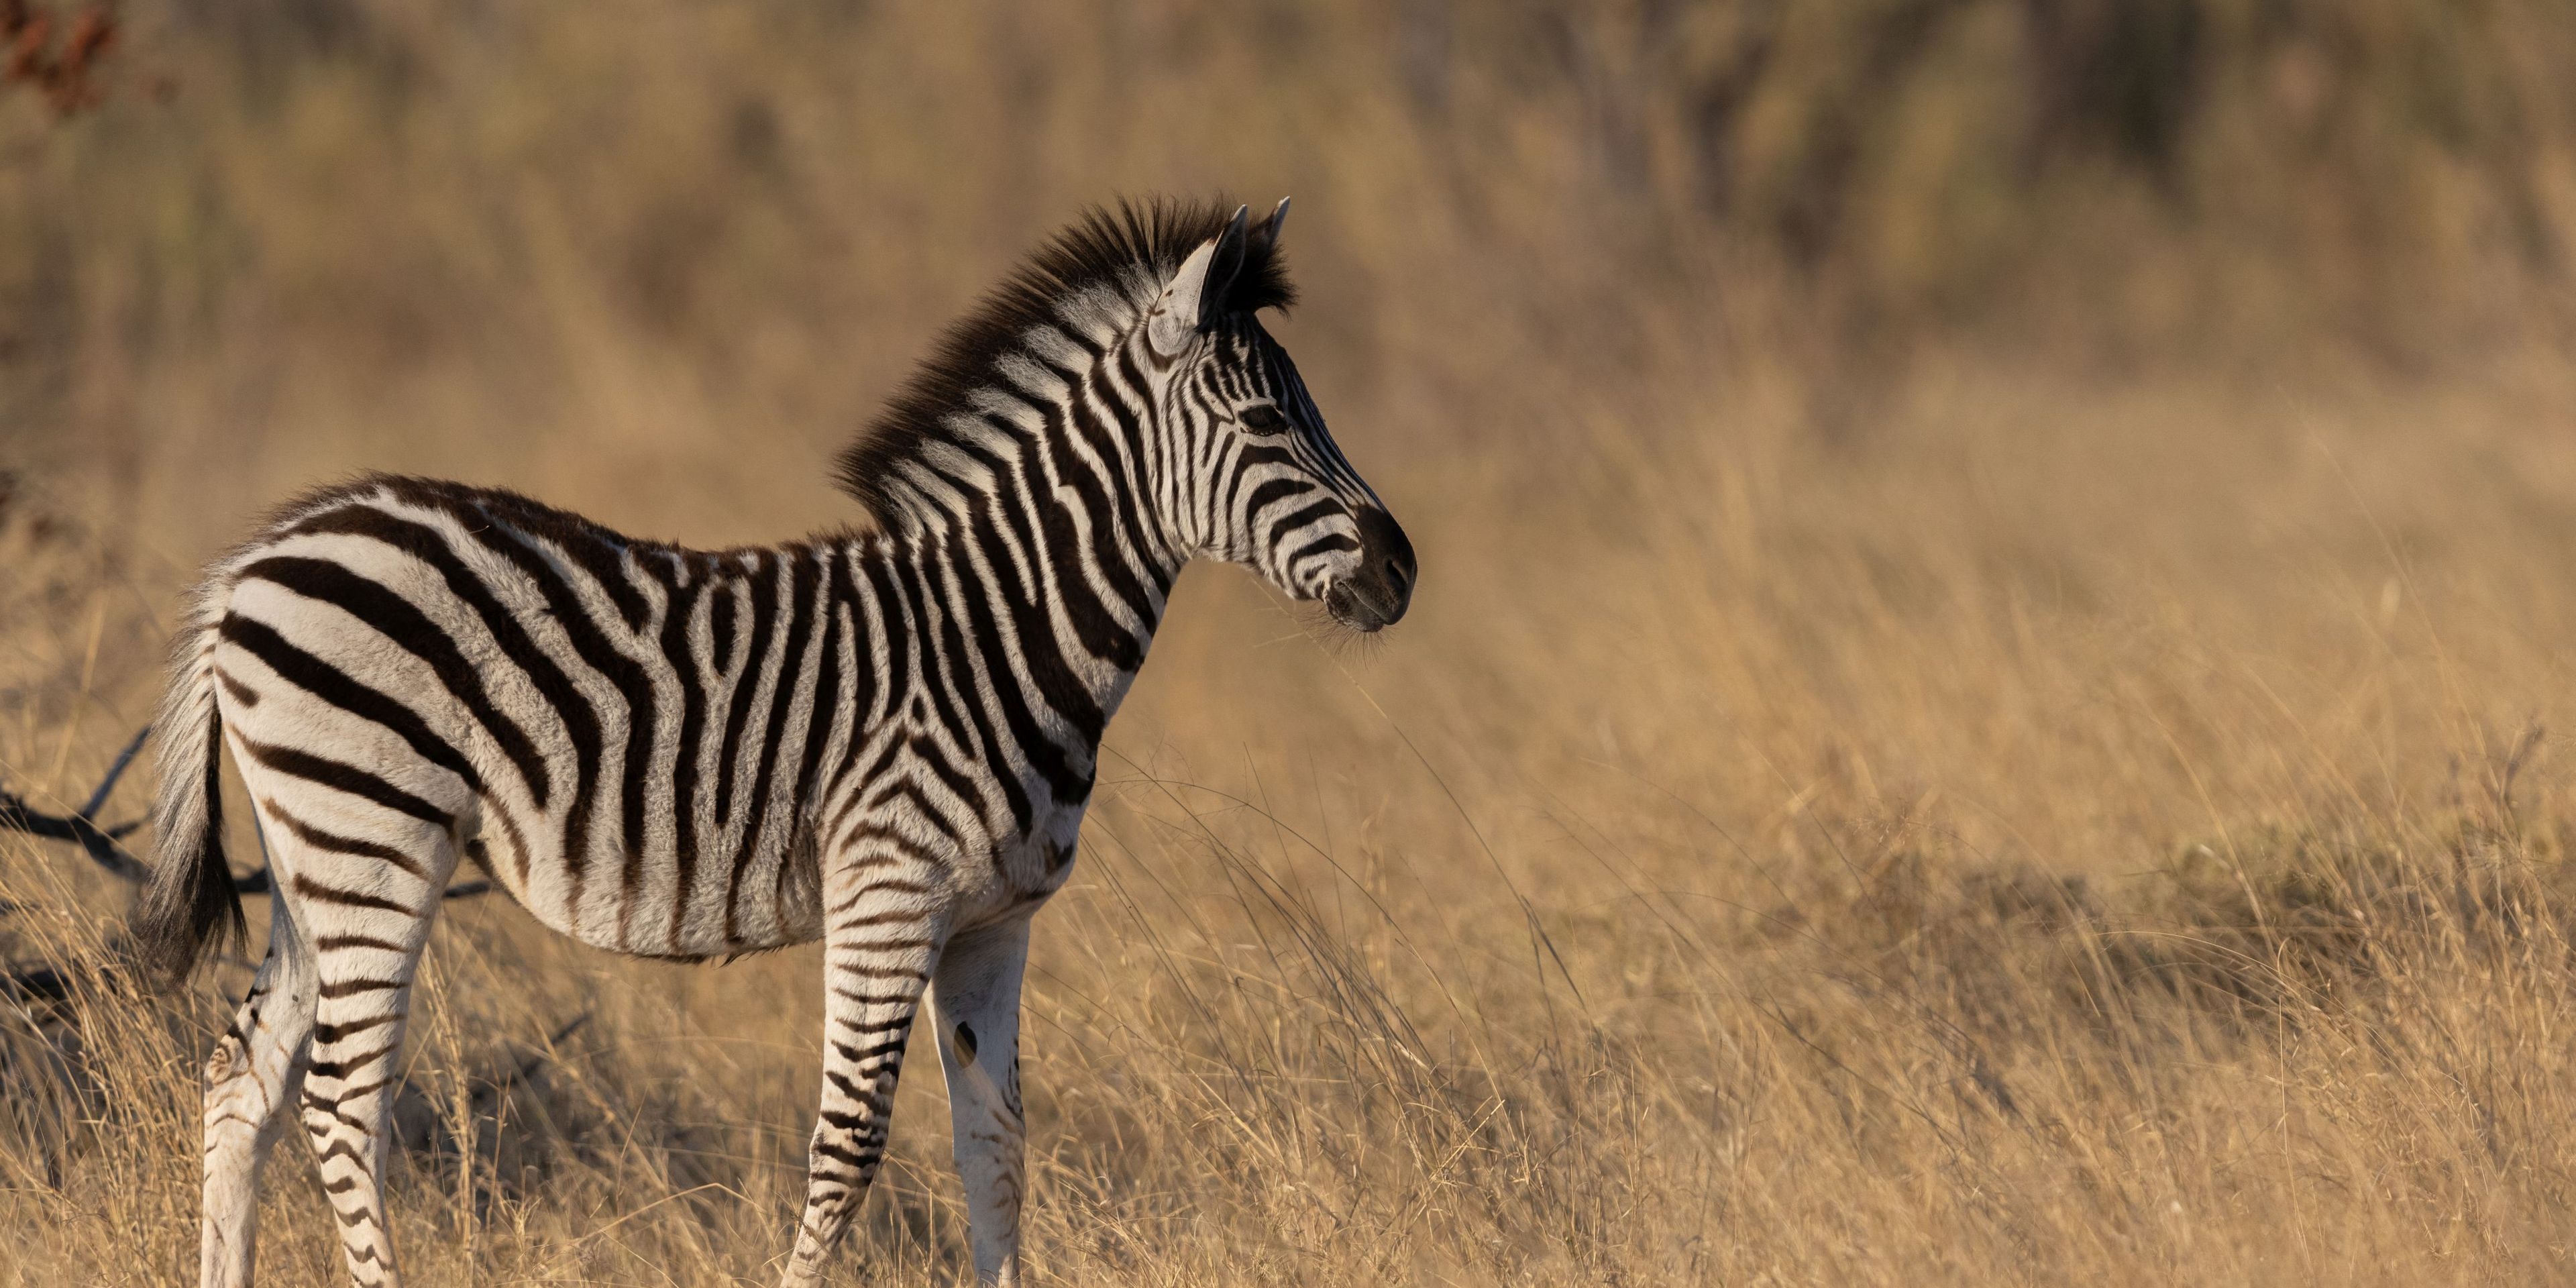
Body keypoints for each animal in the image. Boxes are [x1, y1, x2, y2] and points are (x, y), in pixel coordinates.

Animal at [132, 196, 1416, 1288]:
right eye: (1265, 419)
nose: (1404, 571)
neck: (999, 634)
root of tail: (253, 562)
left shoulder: (994, 926)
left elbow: (996, 1154)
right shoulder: (890, 894)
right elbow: (848, 1148)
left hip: (315, 854)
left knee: (241, 1083)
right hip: (375, 835)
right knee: (342, 1102)